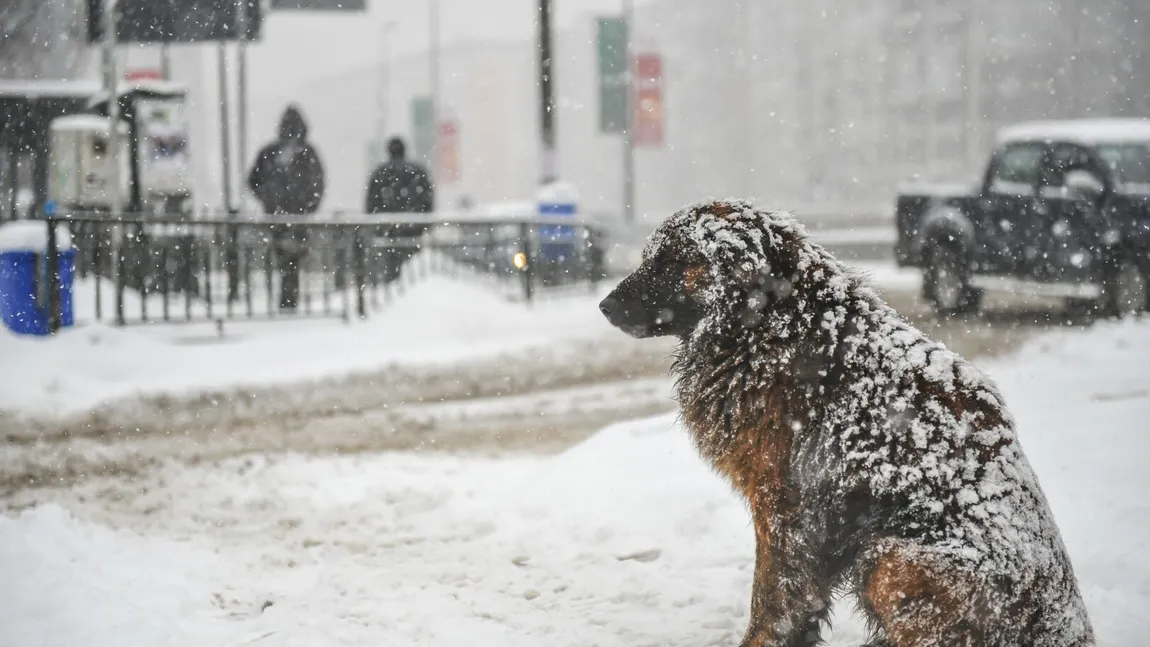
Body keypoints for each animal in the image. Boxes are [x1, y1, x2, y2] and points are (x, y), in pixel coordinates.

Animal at [598, 199, 1090, 643]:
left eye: (671, 261)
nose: (604, 305)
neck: (773, 324)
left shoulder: (784, 505)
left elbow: (774, 599)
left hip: (891, 558)